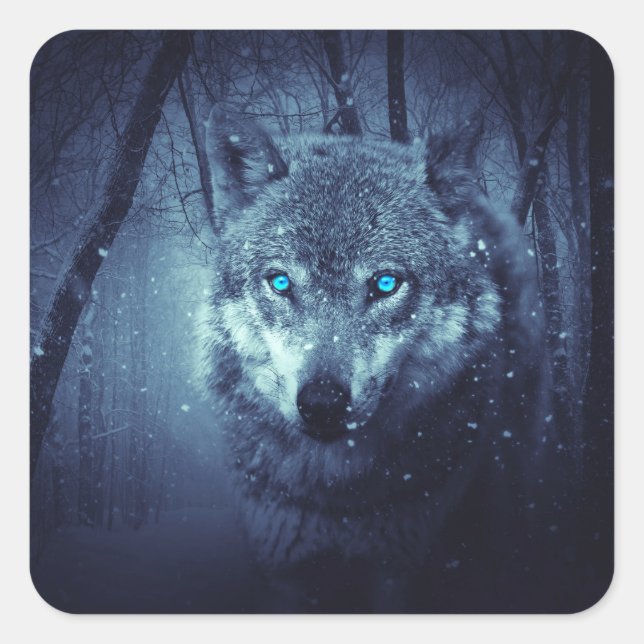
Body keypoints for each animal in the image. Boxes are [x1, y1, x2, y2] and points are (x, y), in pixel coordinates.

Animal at [198, 107, 544, 612]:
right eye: (281, 283)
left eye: (385, 284)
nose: (322, 403)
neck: (339, 498)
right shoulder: (284, 569)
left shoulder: (399, 568)